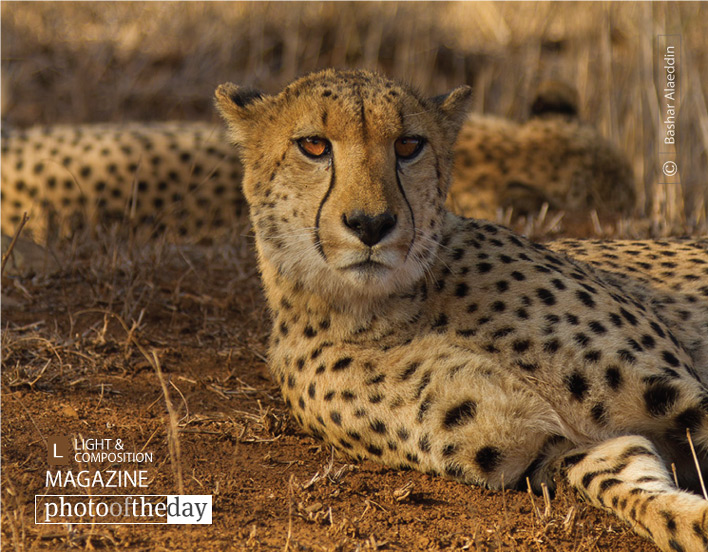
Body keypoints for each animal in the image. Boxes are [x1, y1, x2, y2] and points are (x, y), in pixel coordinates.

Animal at [216, 69, 708, 552]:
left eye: (408, 145)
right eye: (313, 145)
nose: (371, 224)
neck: (395, 309)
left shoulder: (675, 395)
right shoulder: (558, 448)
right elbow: (640, 494)